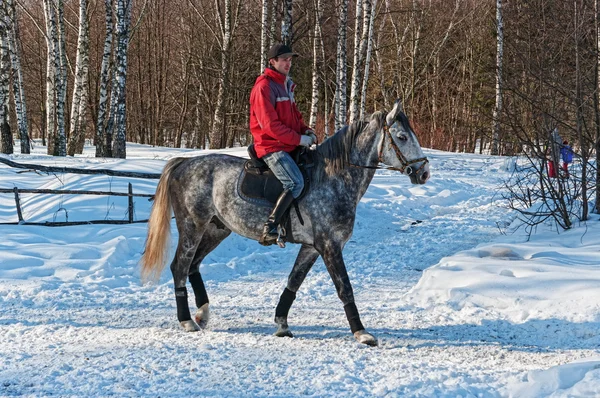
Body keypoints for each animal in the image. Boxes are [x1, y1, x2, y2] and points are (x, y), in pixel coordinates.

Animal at [141, 101, 432, 346]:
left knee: (194, 265)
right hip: (192, 226)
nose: (424, 173)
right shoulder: (330, 246)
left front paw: (281, 323)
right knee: (180, 267)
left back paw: (202, 313)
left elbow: (294, 282)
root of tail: (184, 163)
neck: (334, 178)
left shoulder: (312, 247)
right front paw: (361, 332)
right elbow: (345, 288)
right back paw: (187, 320)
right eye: (402, 137)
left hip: (216, 229)